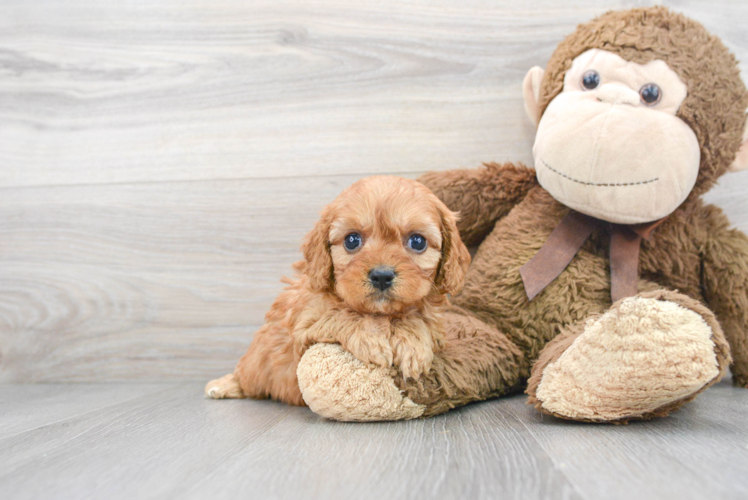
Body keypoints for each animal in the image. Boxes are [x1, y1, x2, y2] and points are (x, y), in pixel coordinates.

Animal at [205, 176, 470, 406]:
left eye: (418, 241)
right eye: (352, 240)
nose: (381, 276)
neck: (381, 313)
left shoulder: (435, 328)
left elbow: (416, 318)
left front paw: (412, 343)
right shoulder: (303, 331)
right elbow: (343, 314)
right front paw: (372, 337)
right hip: (256, 363)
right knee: (245, 377)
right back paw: (223, 385)